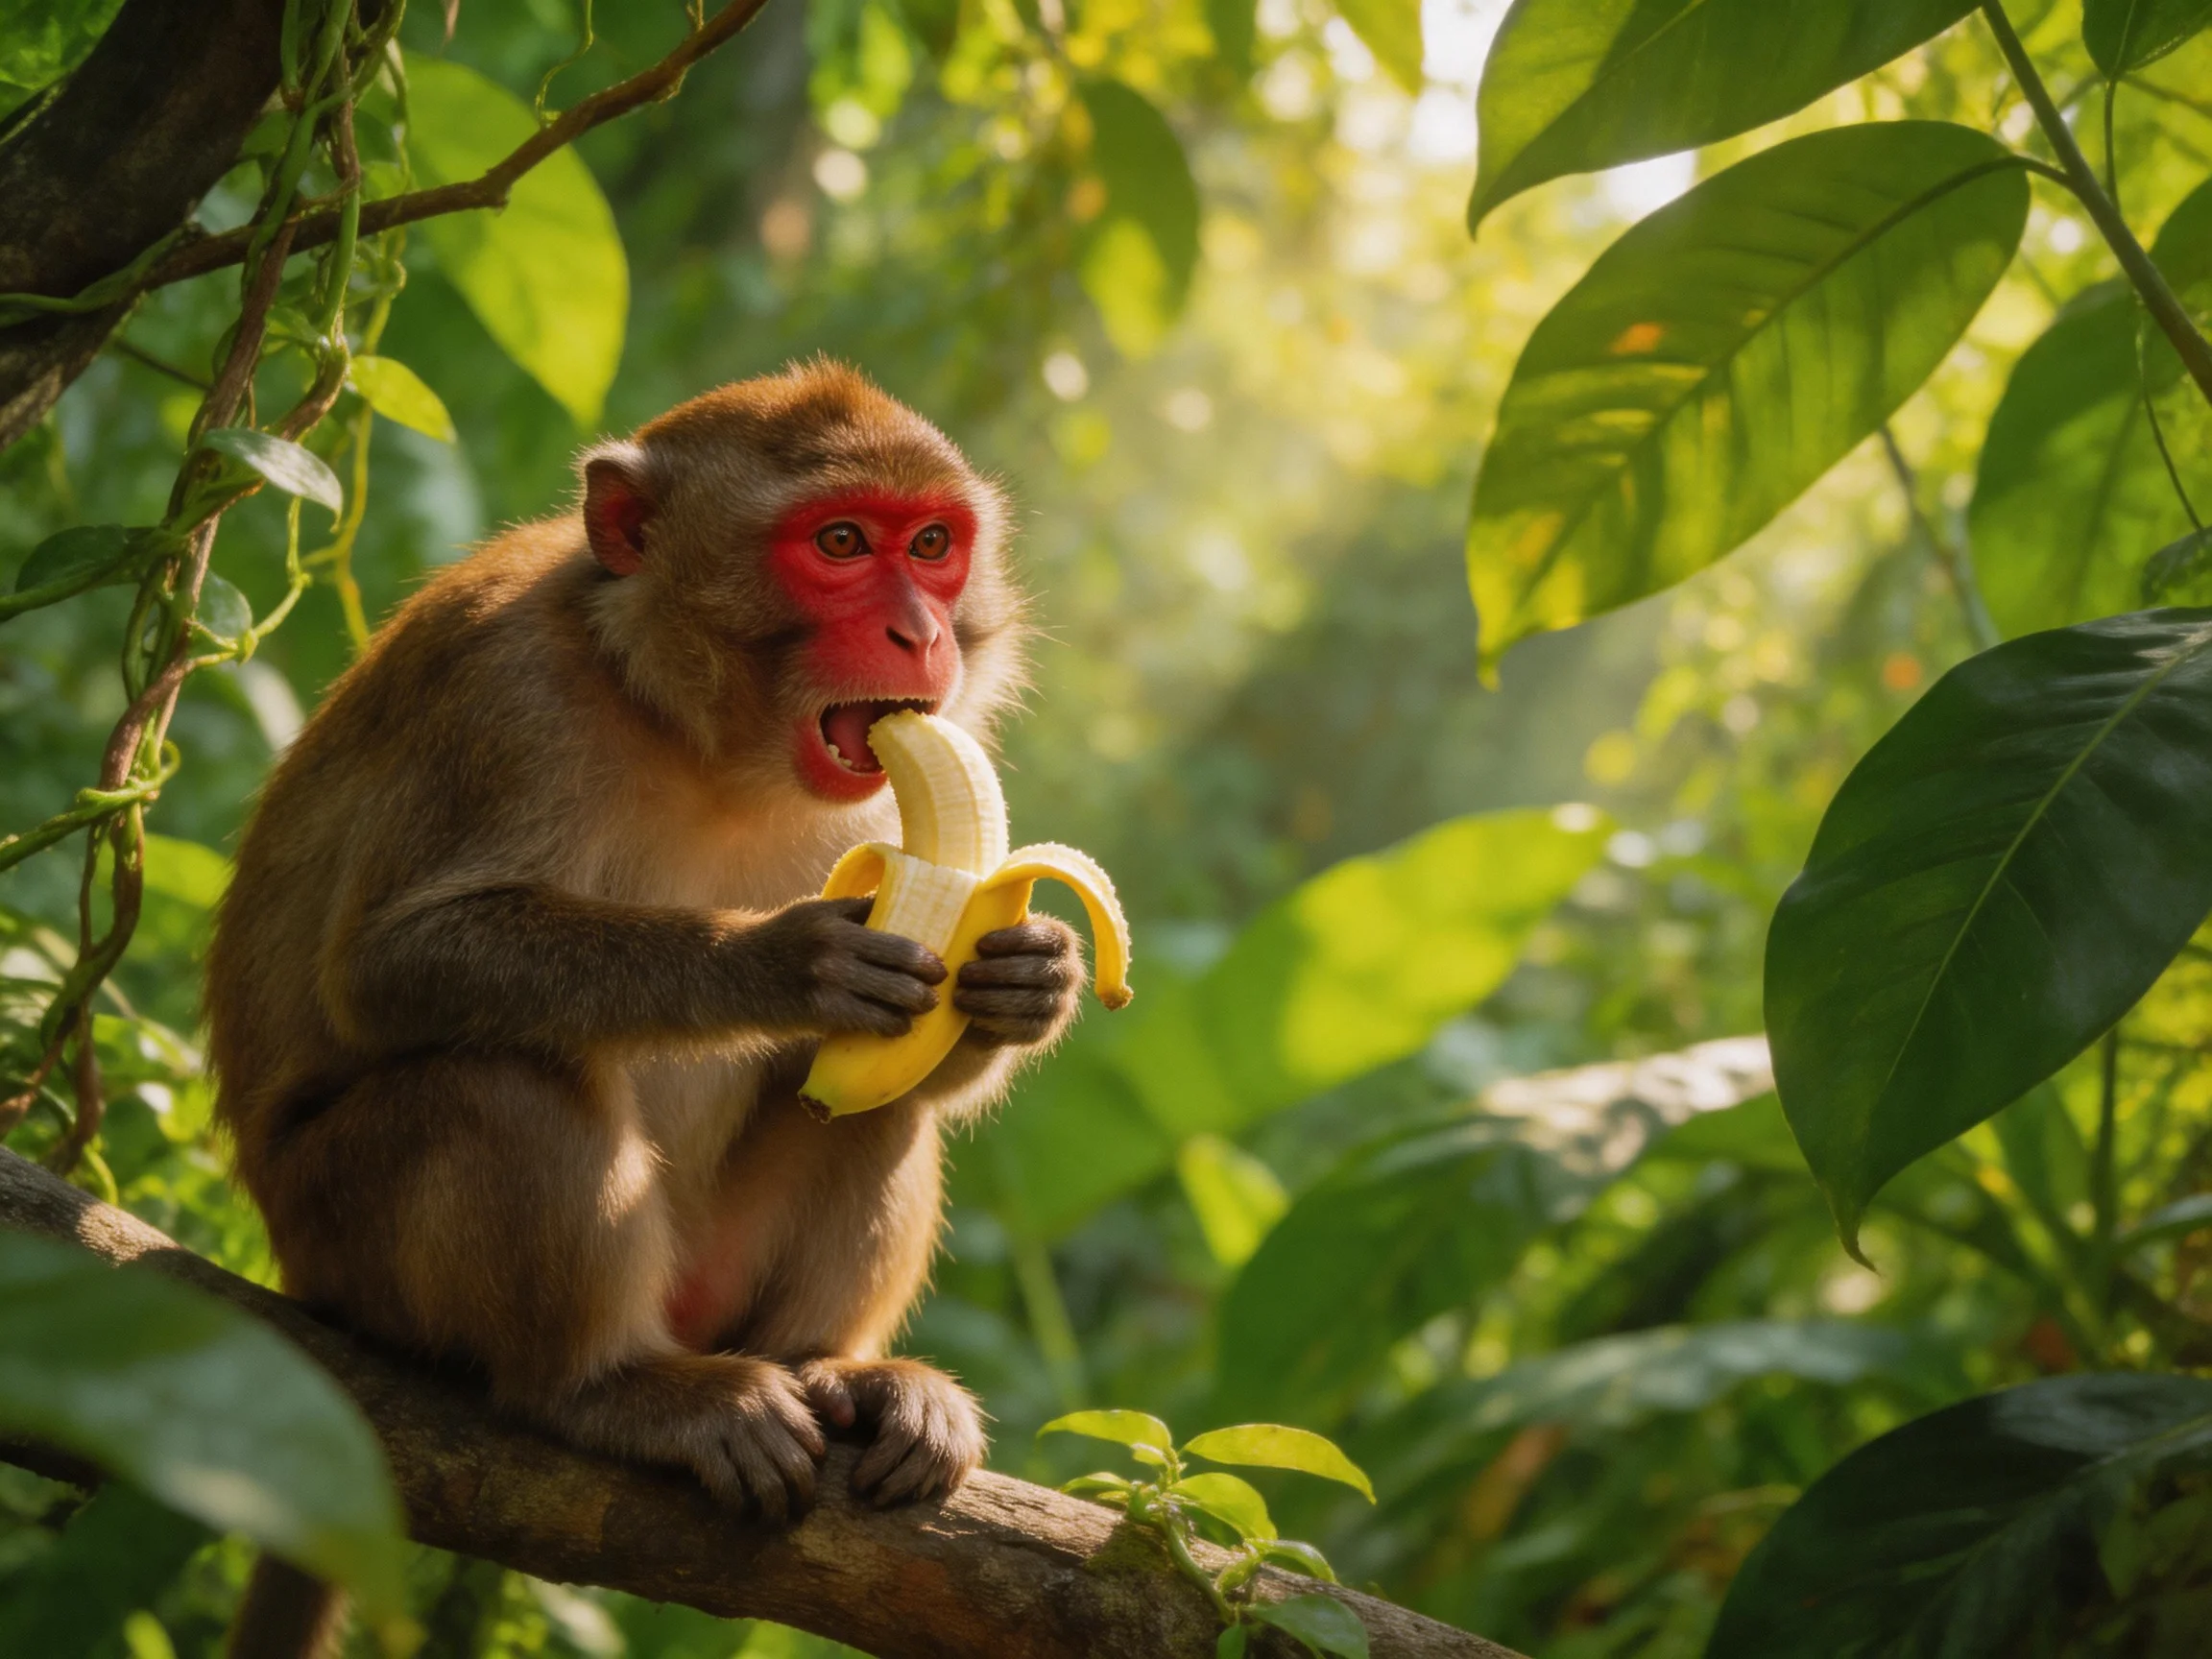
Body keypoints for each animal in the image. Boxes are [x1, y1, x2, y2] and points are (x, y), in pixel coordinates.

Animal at [205, 363, 1085, 1651]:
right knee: (500, 1085)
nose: (920, 633)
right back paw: (603, 1388)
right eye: (838, 543)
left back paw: (836, 1371)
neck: (695, 734)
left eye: (932, 546)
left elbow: (922, 1047)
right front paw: (778, 965)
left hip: (715, 1276)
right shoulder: (501, 690)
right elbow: (384, 965)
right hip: (344, 1243)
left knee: (870, 1102)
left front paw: (1025, 981)